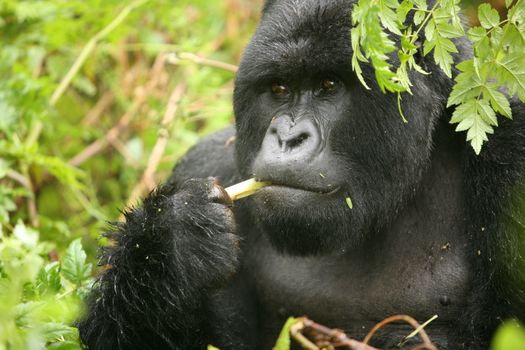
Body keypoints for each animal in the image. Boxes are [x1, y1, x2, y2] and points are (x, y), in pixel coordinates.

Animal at [77, 0, 524, 350]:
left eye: (329, 85)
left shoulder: (514, 158)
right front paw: (170, 243)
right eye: (278, 89)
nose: (289, 138)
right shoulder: (205, 163)